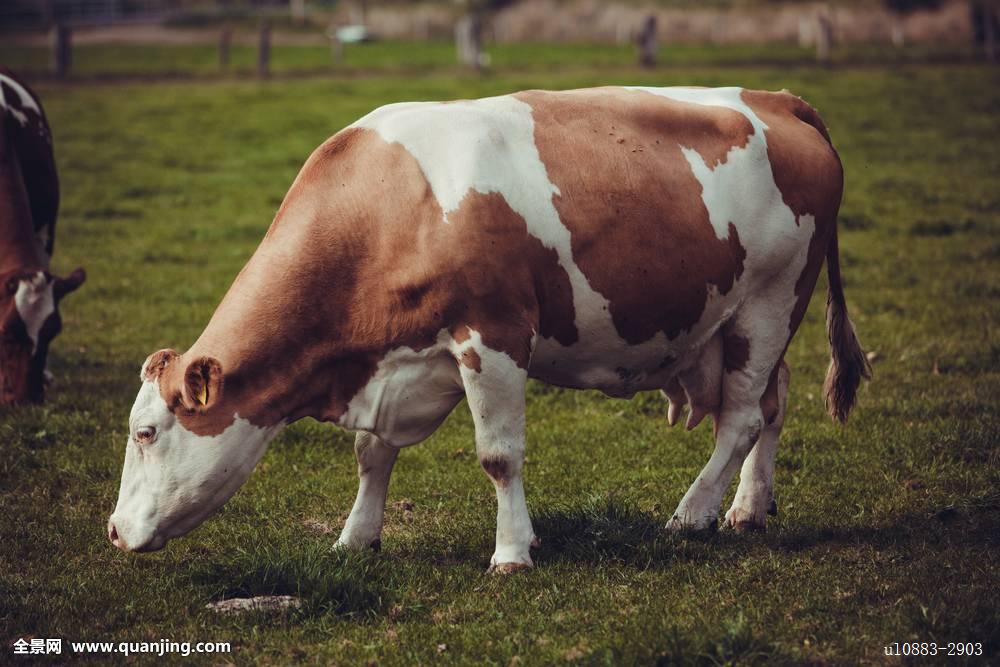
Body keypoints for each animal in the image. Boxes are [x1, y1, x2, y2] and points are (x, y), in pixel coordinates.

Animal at [107, 86, 868, 572]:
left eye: (146, 432)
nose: (113, 531)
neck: (388, 207)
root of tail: (775, 98)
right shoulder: (395, 361)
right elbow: (371, 454)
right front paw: (356, 538)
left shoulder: (493, 335)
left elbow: (498, 455)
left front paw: (511, 552)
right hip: (746, 320)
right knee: (772, 404)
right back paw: (749, 508)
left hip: (771, 300)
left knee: (740, 418)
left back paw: (693, 513)